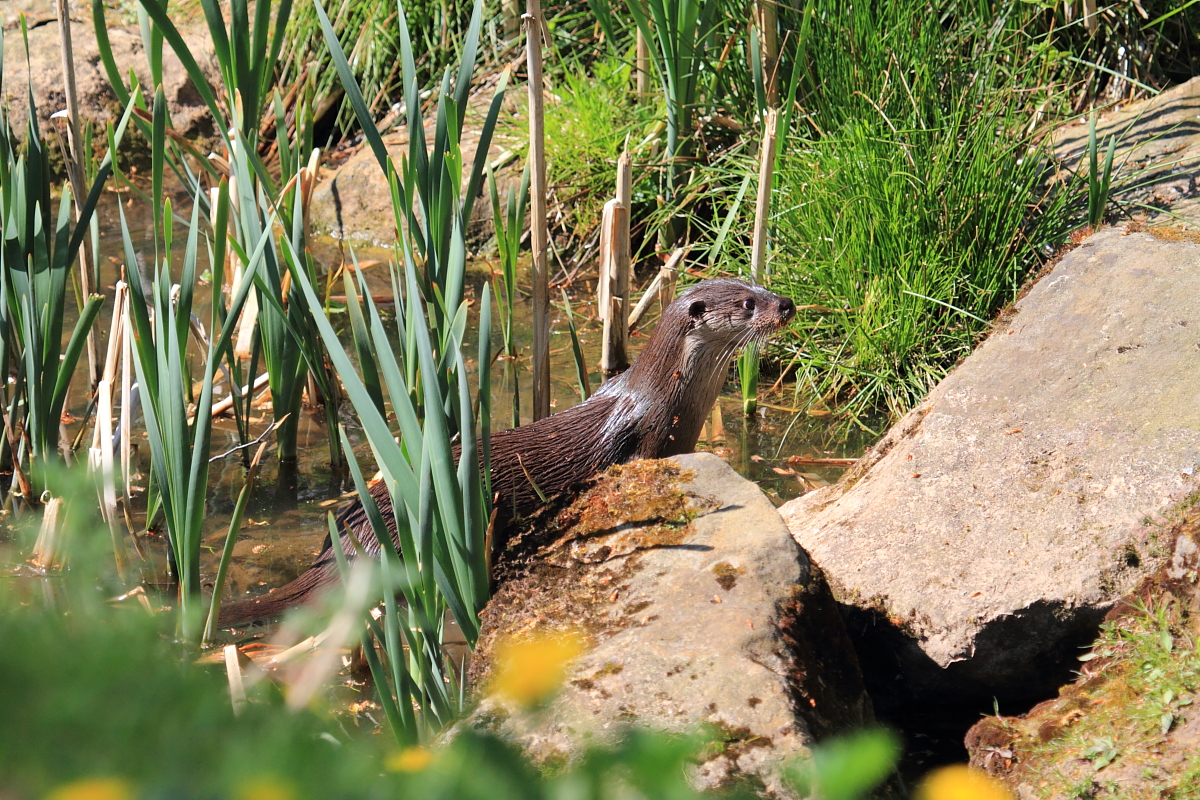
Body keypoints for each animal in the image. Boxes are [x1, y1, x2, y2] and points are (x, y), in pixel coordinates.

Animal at [216, 281, 796, 623]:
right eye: (748, 304)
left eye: (761, 284)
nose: (786, 304)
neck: (663, 398)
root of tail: (343, 546)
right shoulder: (649, 438)